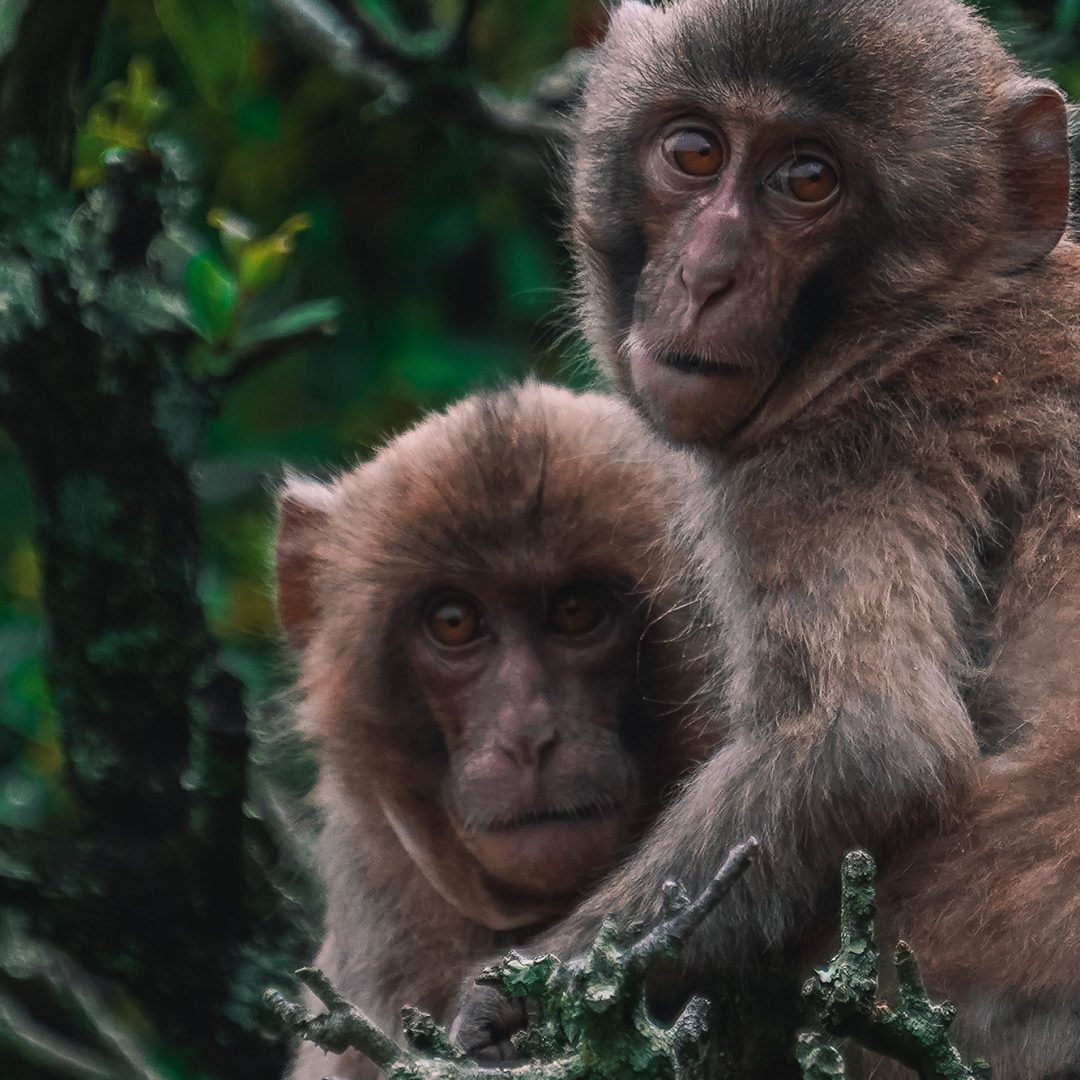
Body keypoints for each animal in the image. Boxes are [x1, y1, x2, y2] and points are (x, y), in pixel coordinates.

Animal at [451, 1, 1080, 1076]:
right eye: (694, 153)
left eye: (809, 179)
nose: (707, 276)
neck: (938, 313)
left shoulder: (831, 461)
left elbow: (868, 743)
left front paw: (517, 1007)